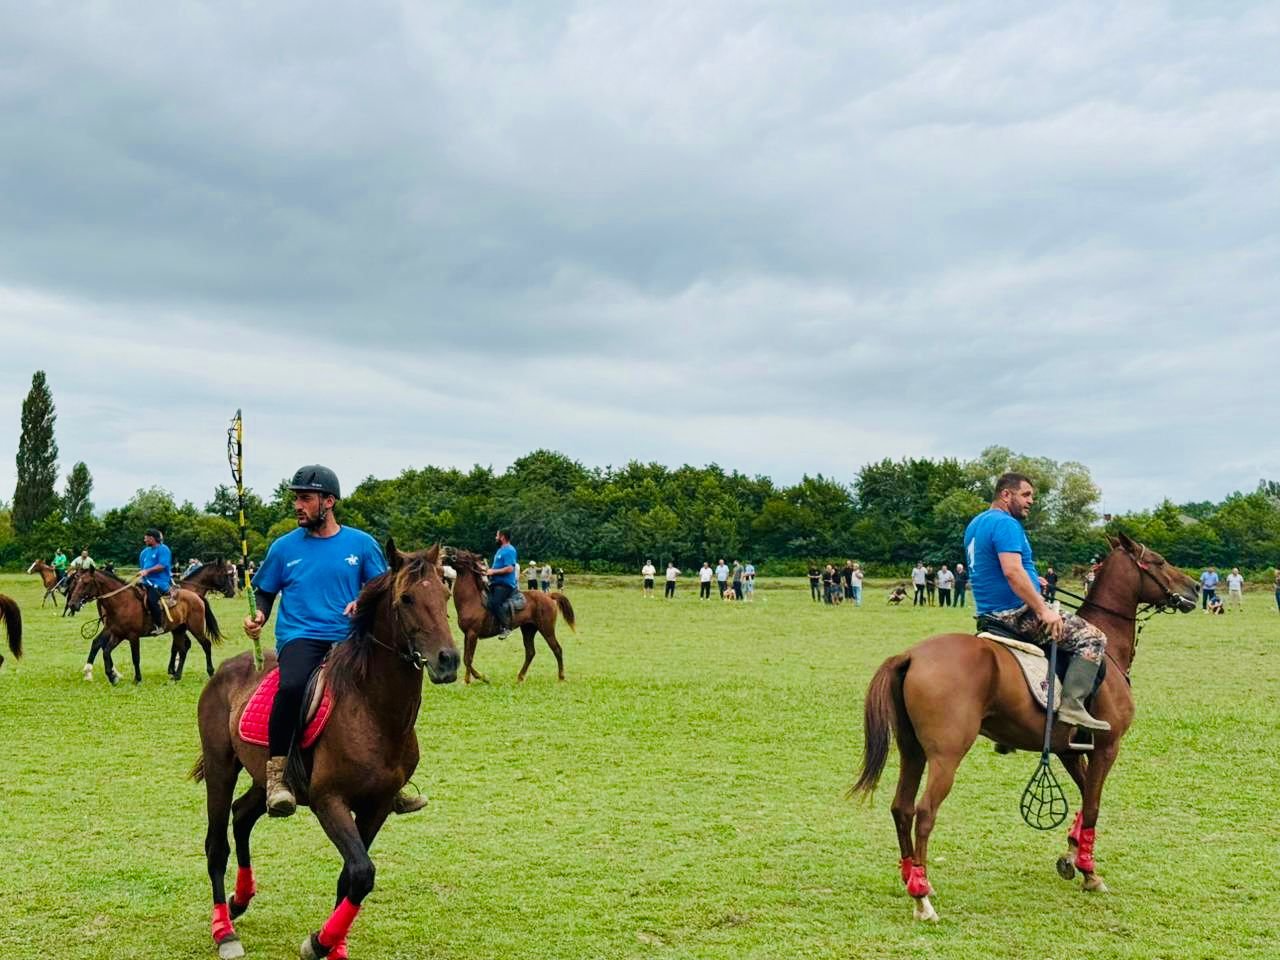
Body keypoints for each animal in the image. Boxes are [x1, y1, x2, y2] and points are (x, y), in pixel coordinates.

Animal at [81, 560, 236, 683]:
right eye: (225, 574)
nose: (232, 592)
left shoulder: (175, 629)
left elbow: (179, 647)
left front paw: (172, 669)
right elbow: (179, 647)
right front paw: (171, 669)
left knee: (98, 643)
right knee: (99, 644)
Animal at [191, 541, 460, 960]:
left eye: (446, 595)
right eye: (407, 598)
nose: (448, 660)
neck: (372, 710)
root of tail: (229, 666)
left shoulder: (377, 806)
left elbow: (351, 875)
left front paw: (334, 945)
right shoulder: (328, 800)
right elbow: (362, 872)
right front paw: (318, 942)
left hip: (263, 777)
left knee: (243, 815)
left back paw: (241, 898)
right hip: (221, 766)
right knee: (216, 844)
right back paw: (225, 929)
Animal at [447, 549, 576, 684]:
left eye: (466, 555)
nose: (449, 552)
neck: (471, 600)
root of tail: (548, 596)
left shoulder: (473, 633)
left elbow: (469, 658)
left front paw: (474, 679)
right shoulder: (467, 634)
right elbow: (465, 658)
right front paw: (477, 678)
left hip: (547, 629)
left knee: (557, 649)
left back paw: (561, 677)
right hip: (528, 630)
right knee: (530, 652)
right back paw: (520, 677)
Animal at [851, 532, 1198, 921]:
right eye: (1158, 561)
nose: (1196, 587)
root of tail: (910, 655)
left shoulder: (1068, 750)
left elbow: (1085, 798)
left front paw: (1072, 853)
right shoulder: (1108, 745)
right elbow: (1093, 806)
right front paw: (1090, 872)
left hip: (912, 750)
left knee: (902, 807)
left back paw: (911, 876)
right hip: (946, 754)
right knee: (925, 812)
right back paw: (922, 897)